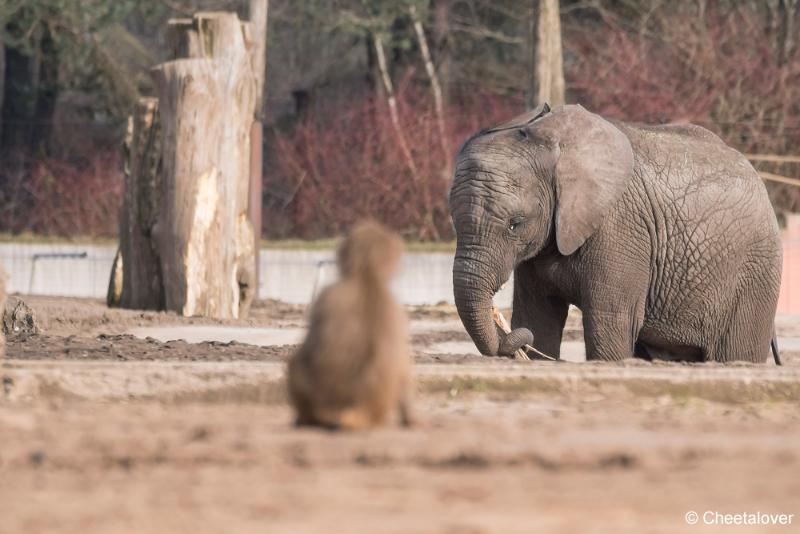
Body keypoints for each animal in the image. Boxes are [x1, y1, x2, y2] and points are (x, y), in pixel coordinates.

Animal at [450, 103, 780, 364]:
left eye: (515, 223)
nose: (513, 337)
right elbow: (538, 317)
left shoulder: (621, 228)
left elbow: (610, 321)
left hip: (753, 272)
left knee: (735, 352)